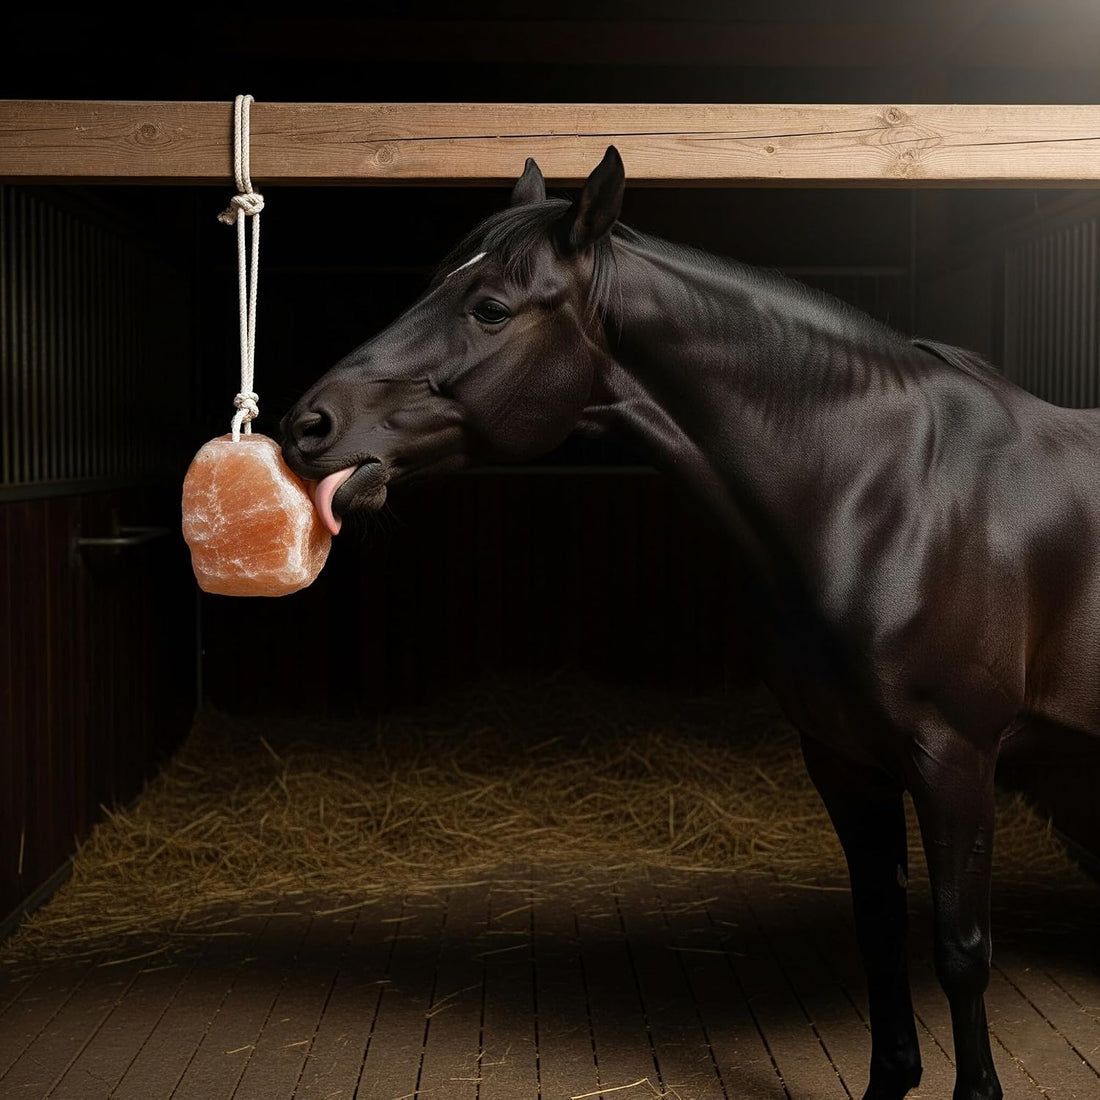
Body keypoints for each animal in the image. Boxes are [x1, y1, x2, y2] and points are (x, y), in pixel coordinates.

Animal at [281, 146, 1100, 1100]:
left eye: (489, 308)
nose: (308, 425)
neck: (891, 491)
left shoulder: (955, 761)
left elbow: (961, 951)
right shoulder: (845, 760)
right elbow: (880, 928)